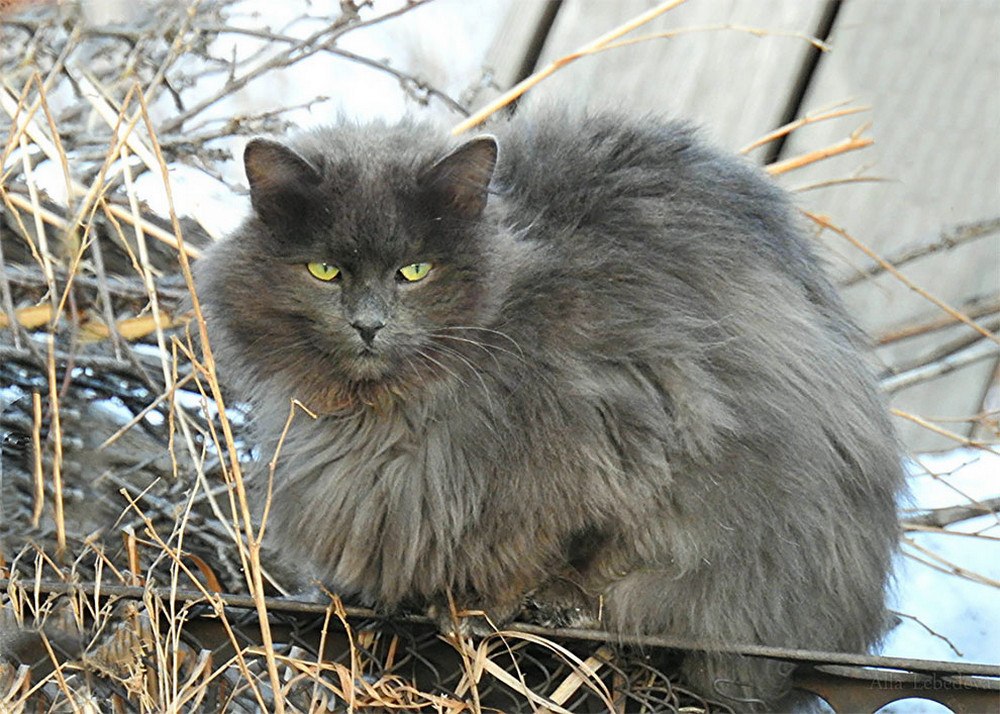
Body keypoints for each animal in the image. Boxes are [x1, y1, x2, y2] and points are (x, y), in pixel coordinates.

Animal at [197, 110, 908, 708]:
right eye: (324, 271)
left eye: (414, 271)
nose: (368, 325)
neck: (386, 414)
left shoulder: (615, 432)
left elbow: (548, 544)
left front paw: (488, 608)